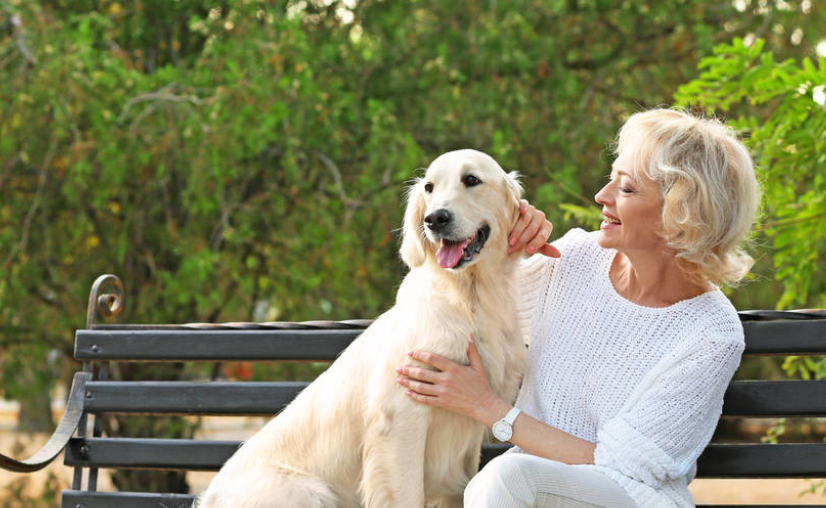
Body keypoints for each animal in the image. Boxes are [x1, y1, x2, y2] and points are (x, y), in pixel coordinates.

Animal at [196, 149, 524, 506]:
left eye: (471, 180)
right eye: (429, 187)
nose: (435, 219)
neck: (470, 298)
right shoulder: (401, 419)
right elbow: (406, 493)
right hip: (310, 491)